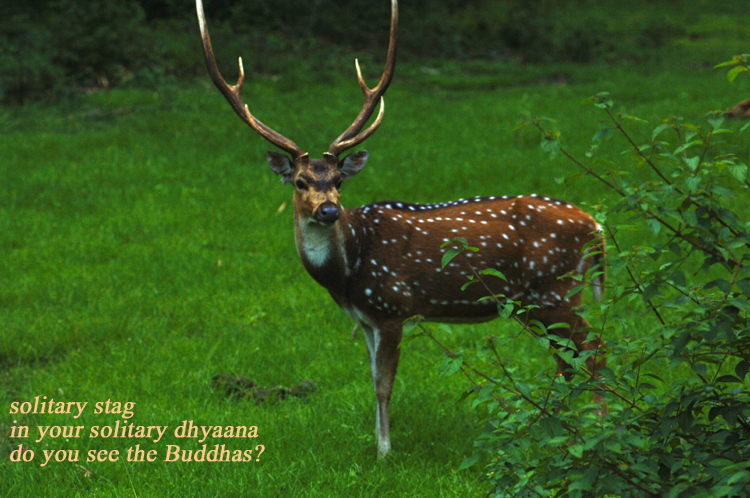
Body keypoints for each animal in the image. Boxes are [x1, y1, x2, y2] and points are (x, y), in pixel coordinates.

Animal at [196, 0, 606, 458]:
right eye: (301, 182)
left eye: (338, 181)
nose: (329, 211)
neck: (348, 272)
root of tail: (596, 225)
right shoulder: (366, 318)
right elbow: (372, 380)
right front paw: (378, 444)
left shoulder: (393, 306)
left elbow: (384, 385)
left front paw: (384, 452)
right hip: (543, 300)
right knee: (569, 361)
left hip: (555, 290)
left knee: (593, 352)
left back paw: (597, 427)